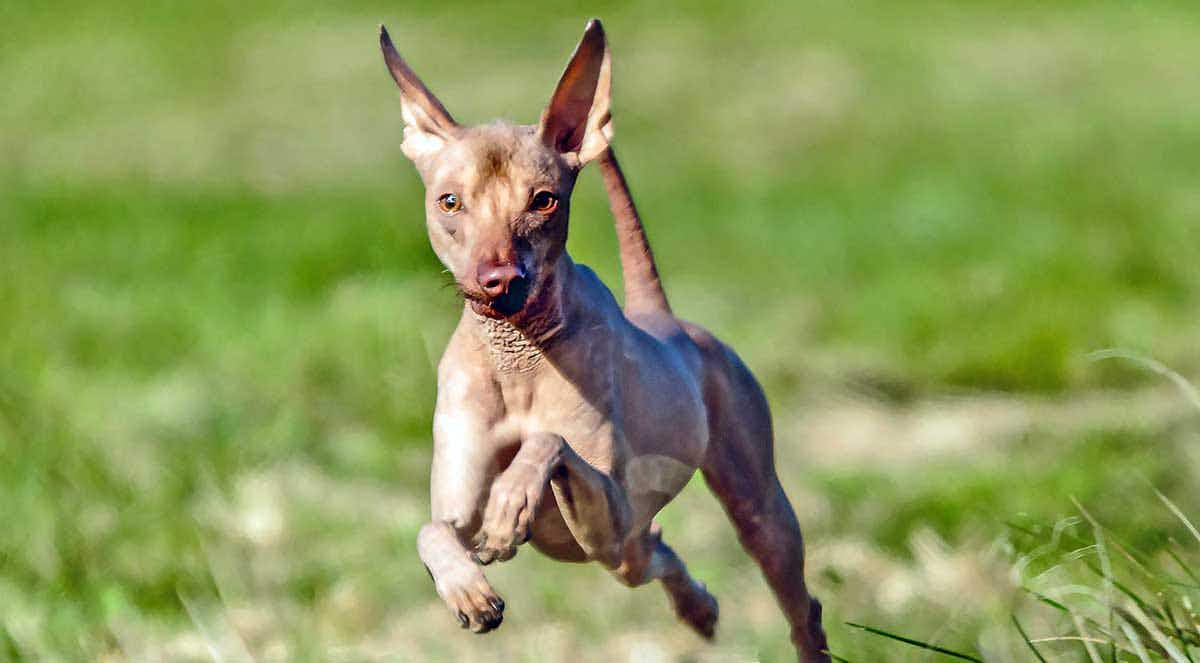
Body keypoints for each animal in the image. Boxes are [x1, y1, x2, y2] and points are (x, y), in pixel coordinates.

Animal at [379, 18, 830, 658]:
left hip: (749, 512)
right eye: (450, 202)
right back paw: (698, 609)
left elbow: (549, 443)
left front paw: (511, 504)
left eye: (543, 200)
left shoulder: (610, 514)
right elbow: (431, 529)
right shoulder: (461, 501)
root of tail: (664, 319)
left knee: (799, 607)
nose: (499, 280)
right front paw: (468, 590)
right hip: (625, 553)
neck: (518, 354)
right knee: (656, 548)